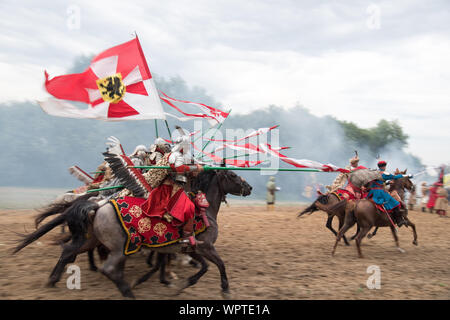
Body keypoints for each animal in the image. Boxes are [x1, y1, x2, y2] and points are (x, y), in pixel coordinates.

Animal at [13, 171, 253, 298]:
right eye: (233, 176)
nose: (249, 188)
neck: (204, 209)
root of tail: (98, 206)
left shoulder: (189, 247)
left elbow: (201, 267)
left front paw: (180, 283)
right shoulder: (205, 247)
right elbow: (218, 265)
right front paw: (224, 289)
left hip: (91, 240)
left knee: (68, 251)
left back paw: (52, 281)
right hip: (119, 249)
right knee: (108, 268)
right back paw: (128, 291)